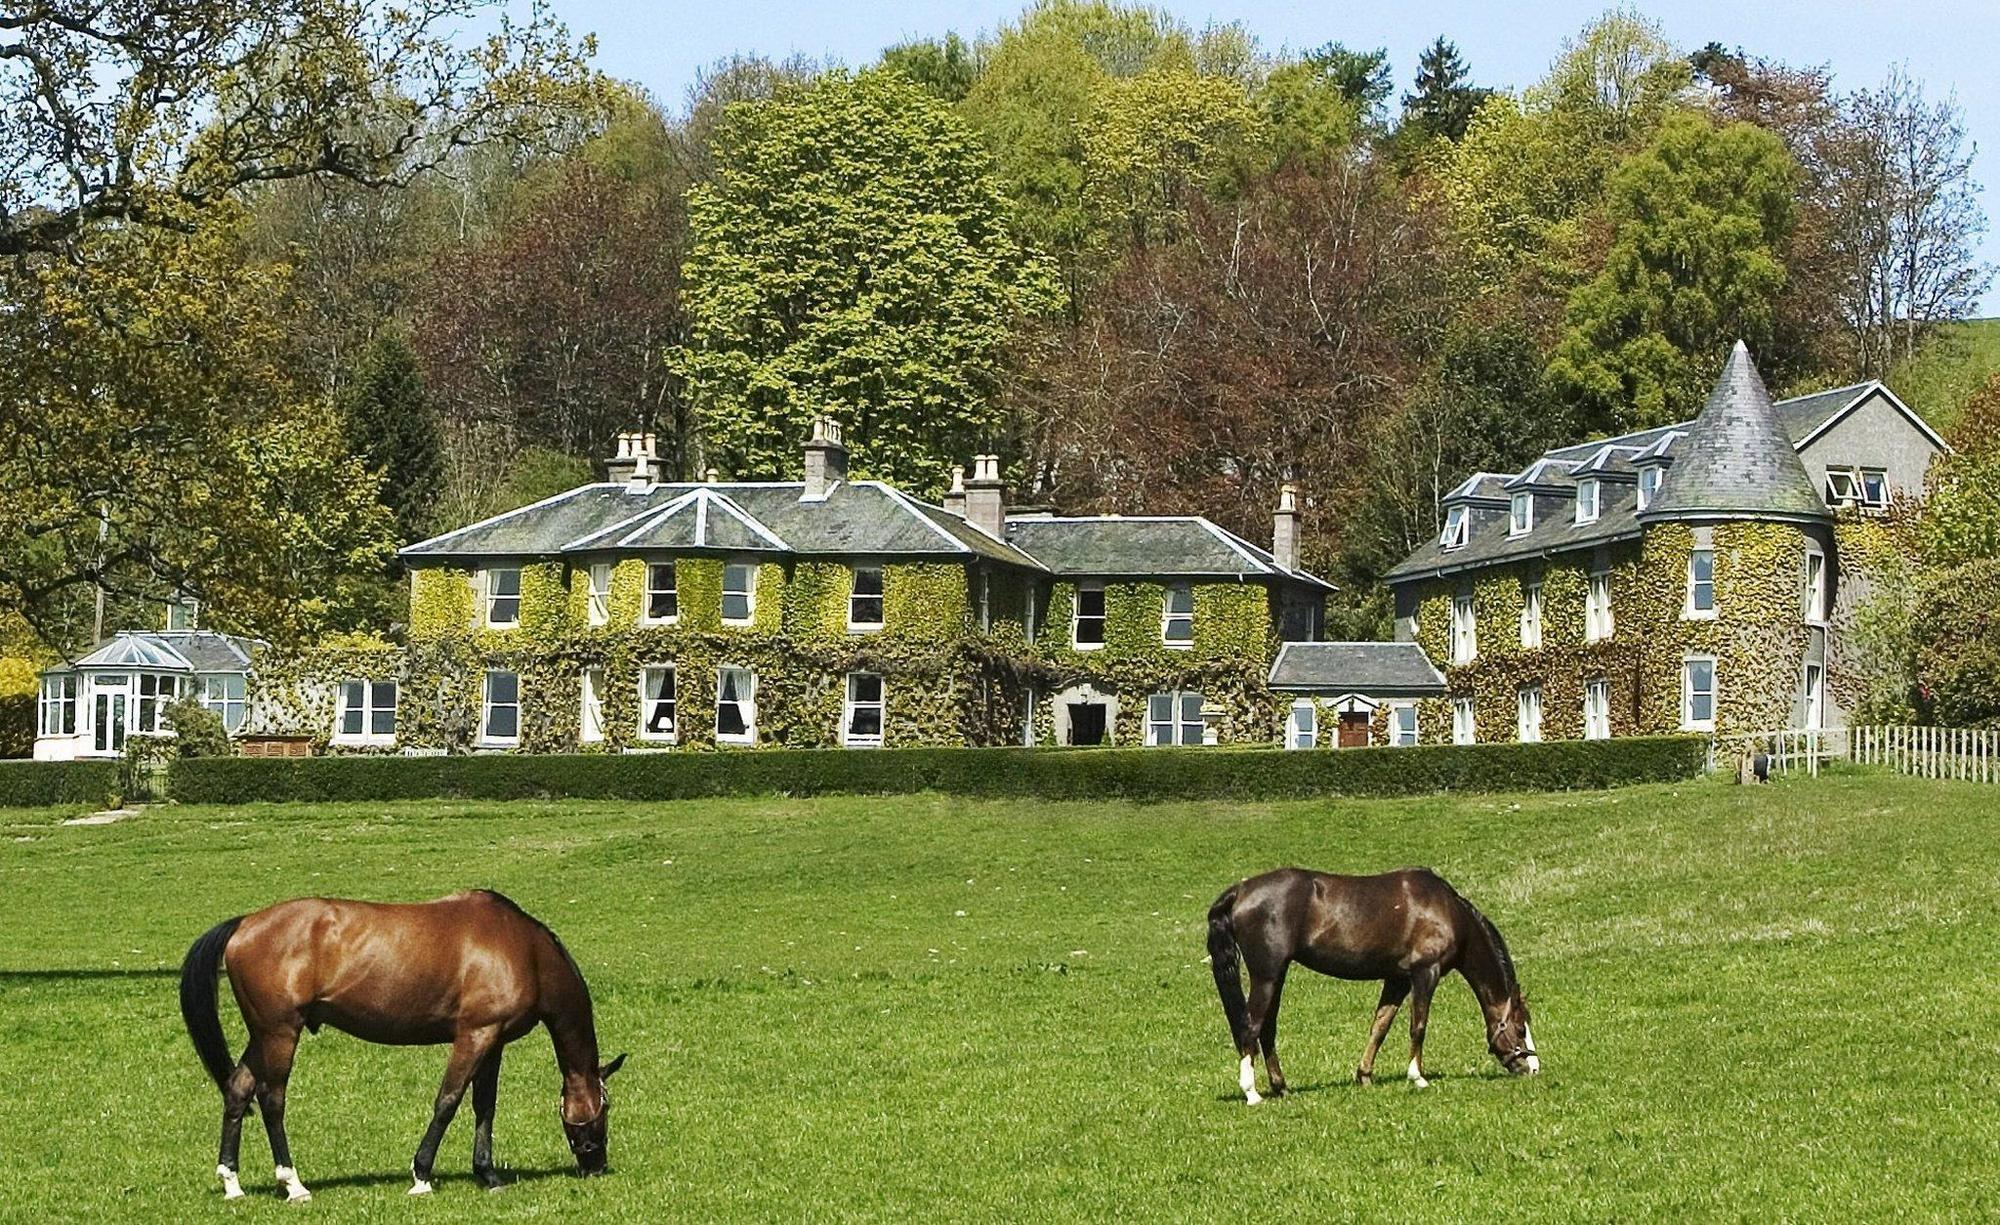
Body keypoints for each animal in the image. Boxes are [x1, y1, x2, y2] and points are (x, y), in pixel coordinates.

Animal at [178, 884, 624, 1200]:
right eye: (605, 1107)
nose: (597, 1165)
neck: (523, 949)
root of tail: (244, 924)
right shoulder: (474, 1035)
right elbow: (448, 1101)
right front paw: (421, 1175)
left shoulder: (493, 1041)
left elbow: (484, 1107)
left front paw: (487, 1173)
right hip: (280, 1033)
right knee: (272, 1101)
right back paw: (293, 1184)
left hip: (262, 1034)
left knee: (238, 1090)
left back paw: (232, 1183)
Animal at [1208, 864, 1536, 1104]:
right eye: (1521, 1029)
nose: (1533, 1068)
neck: (1446, 911)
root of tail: (1240, 890)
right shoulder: (1424, 973)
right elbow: (1418, 1027)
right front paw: (1417, 1077)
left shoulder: (1397, 980)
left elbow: (1380, 1026)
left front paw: (1364, 1075)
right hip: (1266, 976)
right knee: (1251, 1028)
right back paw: (1252, 1093)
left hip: (1276, 976)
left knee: (1267, 1030)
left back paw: (1282, 1087)